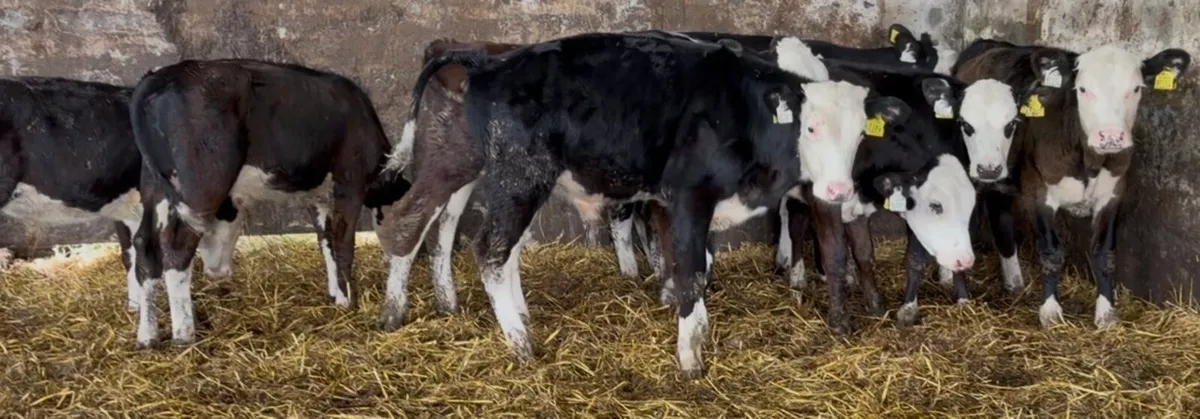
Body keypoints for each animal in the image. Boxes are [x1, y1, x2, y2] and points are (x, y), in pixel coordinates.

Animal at [127, 59, 410, 348]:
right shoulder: (351, 182)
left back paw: (148, 336)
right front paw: (350, 302)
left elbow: (326, 242)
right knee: (177, 246)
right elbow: (343, 245)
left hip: (154, 185)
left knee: (145, 244)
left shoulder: (317, 197)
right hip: (201, 188)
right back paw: (185, 334)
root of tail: (159, 76)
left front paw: (336, 295)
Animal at [379, 32, 911, 377]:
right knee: (482, 247)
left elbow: (693, 266)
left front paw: (693, 329)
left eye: (861, 134)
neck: (742, 111)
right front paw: (690, 359)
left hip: (473, 163)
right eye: (811, 127)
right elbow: (691, 270)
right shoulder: (689, 196)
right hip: (519, 173)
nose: (838, 191)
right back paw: (517, 344)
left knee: (441, 230)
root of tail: (490, 63)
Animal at [952, 39, 1190, 328]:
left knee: (1002, 220)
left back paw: (1014, 282)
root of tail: (987, 43)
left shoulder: (1113, 194)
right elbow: (1051, 253)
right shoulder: (1039, 193)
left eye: (1136, 89)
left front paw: (1106, 313)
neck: (1088, 161)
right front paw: (1050, 311)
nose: (1111, 136)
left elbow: (1104, 253)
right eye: (1083, 89)